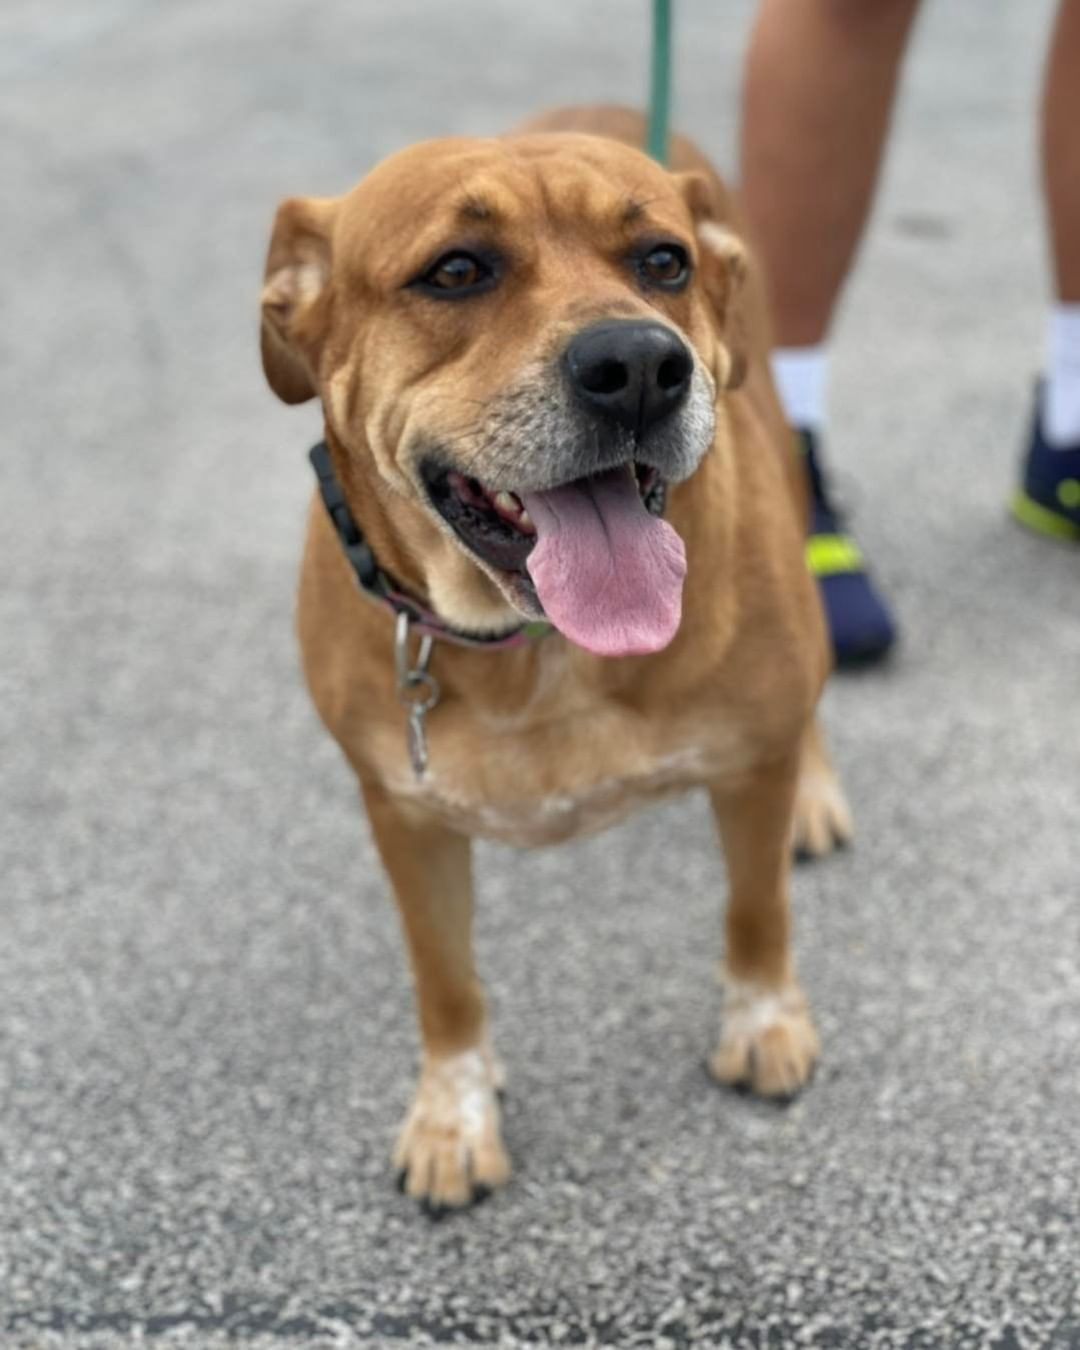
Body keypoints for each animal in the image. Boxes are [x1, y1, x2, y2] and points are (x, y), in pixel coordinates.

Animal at [259, 102, 853, 1204]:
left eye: (662, 261)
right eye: (456, 270)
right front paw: (453, 1115)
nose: (640, 367)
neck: (533, 645)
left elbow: (756, 912)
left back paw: (818, 789)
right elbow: (445, 982)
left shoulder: (749, 766)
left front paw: (764, 1023)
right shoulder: (405, 817)